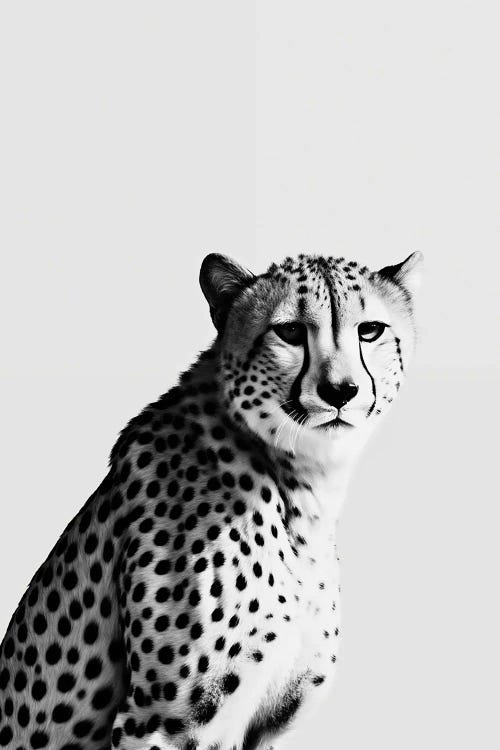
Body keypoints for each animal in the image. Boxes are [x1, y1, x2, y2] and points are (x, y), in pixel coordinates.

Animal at [0, 250, 423, 750]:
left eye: (370, 330)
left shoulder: (268, 728)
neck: (301, 488)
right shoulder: (161, 722)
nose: (340, 391)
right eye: (290, 331)